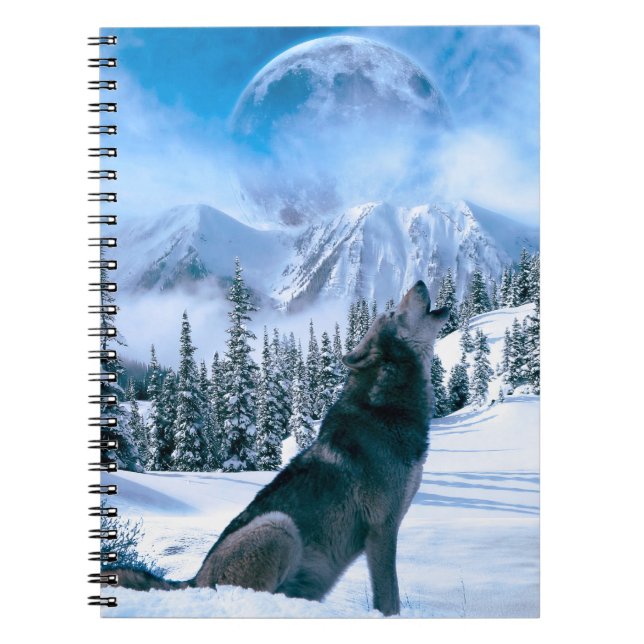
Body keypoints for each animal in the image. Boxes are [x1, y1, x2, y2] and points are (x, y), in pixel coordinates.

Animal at [112, 281, 448, 616]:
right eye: (392, 312)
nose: (419, 282)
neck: (385, 409)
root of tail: (194, 580)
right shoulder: (382, 529)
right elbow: (389, 599)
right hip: (279, 526)